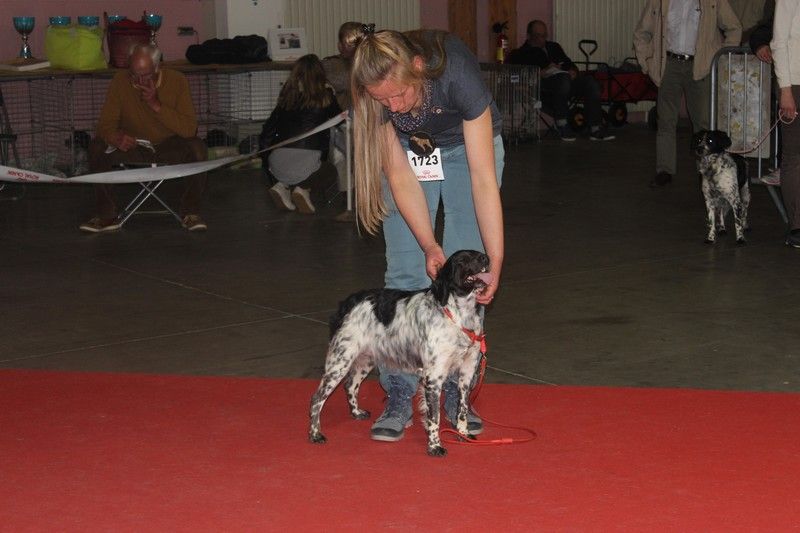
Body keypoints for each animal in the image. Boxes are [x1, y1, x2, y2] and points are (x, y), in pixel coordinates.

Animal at [308, 248, 490, 454]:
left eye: (478, 252)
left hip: (365, 360)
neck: (458, 316)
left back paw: (356, 412)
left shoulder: (466, 374)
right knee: (317, 398)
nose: (486, 258)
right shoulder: (433, 378)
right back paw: (315, 434)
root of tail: (348, 302)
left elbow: (462, 409)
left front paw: (463, 434)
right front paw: (435, 446)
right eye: (462, 260)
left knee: (350, 385)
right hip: (340, 361)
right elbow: (434, 417)